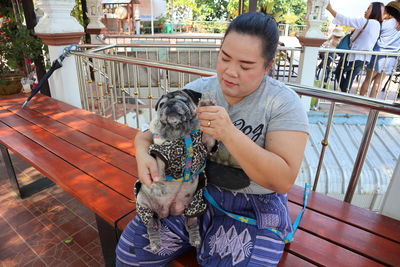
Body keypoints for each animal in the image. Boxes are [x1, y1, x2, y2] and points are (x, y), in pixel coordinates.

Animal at [135, 88, 217, 253]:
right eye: (162, 104)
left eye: (183, 100)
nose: (171, 103)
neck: (180, 133)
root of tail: (168, 212)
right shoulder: (161, 153)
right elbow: (158, 171)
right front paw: (158, 186)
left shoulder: (208, 143)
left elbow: (209, 133)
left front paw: (207, 103)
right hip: (143, 205)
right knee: (152, 226)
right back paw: (155, 243)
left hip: (194, 204)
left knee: (191, 223)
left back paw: (195, 238)